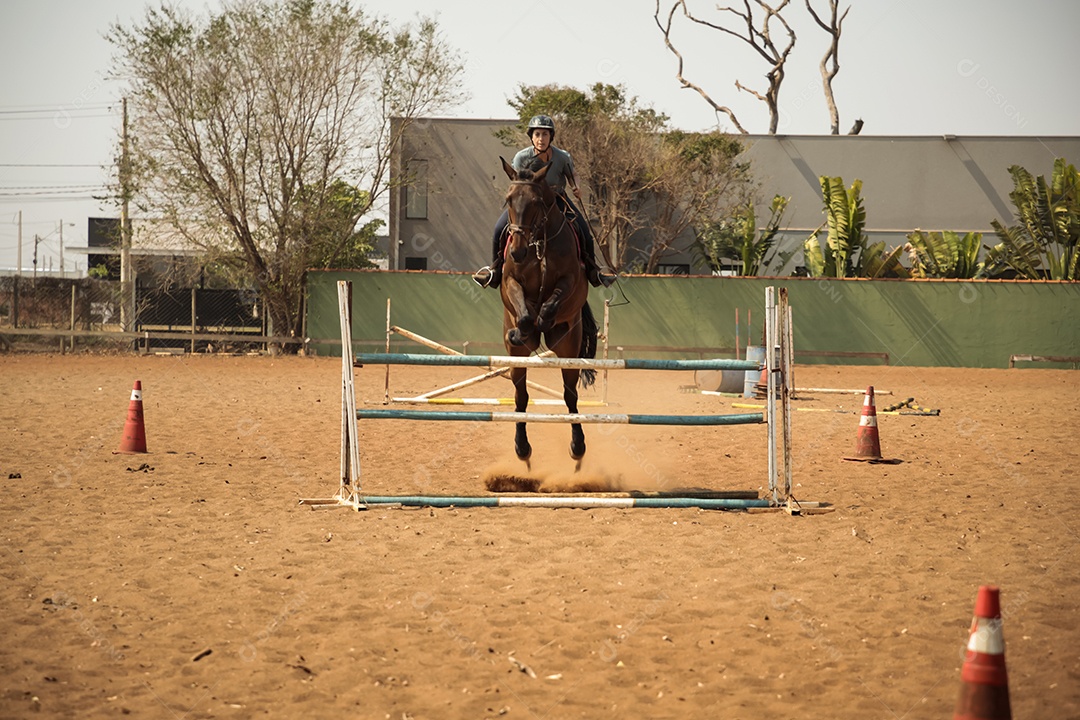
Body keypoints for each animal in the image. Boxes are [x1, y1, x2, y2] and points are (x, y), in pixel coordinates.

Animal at [498, 156, 598, 464]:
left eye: (535, 202)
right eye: (508, 199)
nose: (518, 252)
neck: (539, 242)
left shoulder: (570, 281)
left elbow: (551, 304)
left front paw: (543, 319)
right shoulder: (510, 281)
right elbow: (524, 314)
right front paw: (524, 329)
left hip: (569, 349)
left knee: (570, 395)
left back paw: (578, 447)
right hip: (517, 358)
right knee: (521, 396)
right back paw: (522, 448)